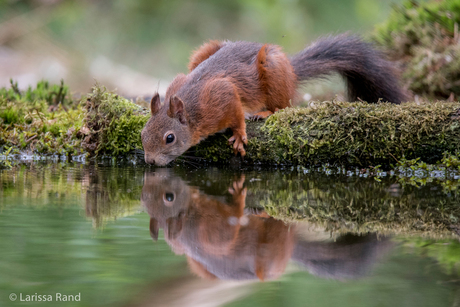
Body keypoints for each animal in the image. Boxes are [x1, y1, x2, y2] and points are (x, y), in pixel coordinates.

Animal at [141, 35, 406, 166]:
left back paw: (266, 112)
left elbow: (235, 112)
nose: (150, 161)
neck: (191, 108)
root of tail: (292, 72)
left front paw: (239, 135)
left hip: (273, 68)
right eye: (143, 134)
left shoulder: (220, 94)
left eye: (170, 138)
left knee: (284, 105)